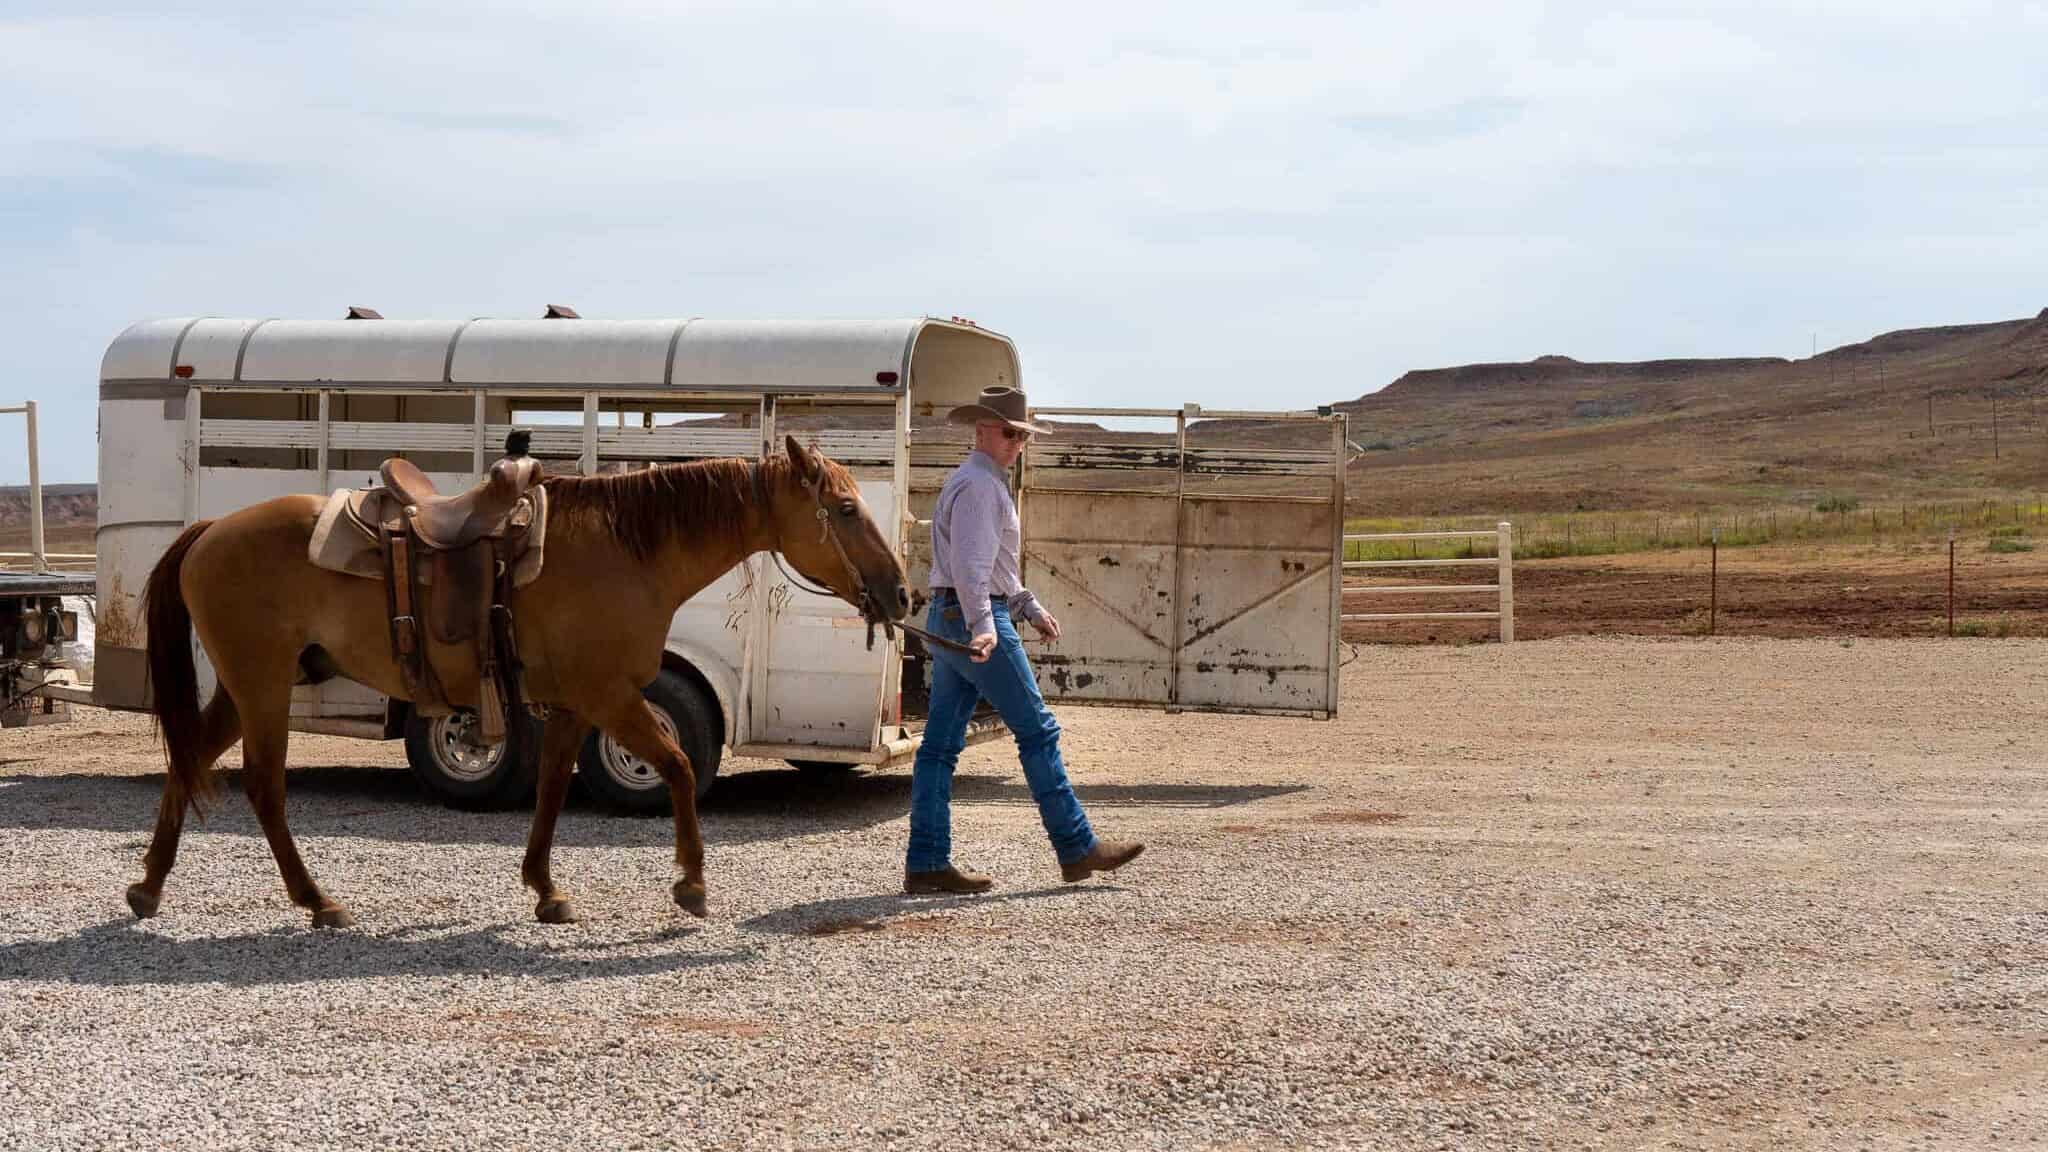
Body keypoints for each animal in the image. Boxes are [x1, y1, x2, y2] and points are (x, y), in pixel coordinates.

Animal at [131, 436, 909, 929]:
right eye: (844, 509)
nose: (900, 594)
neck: (627, 550)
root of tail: (209, 530)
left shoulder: (572, 702)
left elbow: (554, 786)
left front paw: (545, 889)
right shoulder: (609, 694)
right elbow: (679, 767)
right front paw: (691, 885)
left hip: (247, 685)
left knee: (188, 760)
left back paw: (146, 889)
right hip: (261, 683)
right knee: (263, 786)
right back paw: (317, 900)